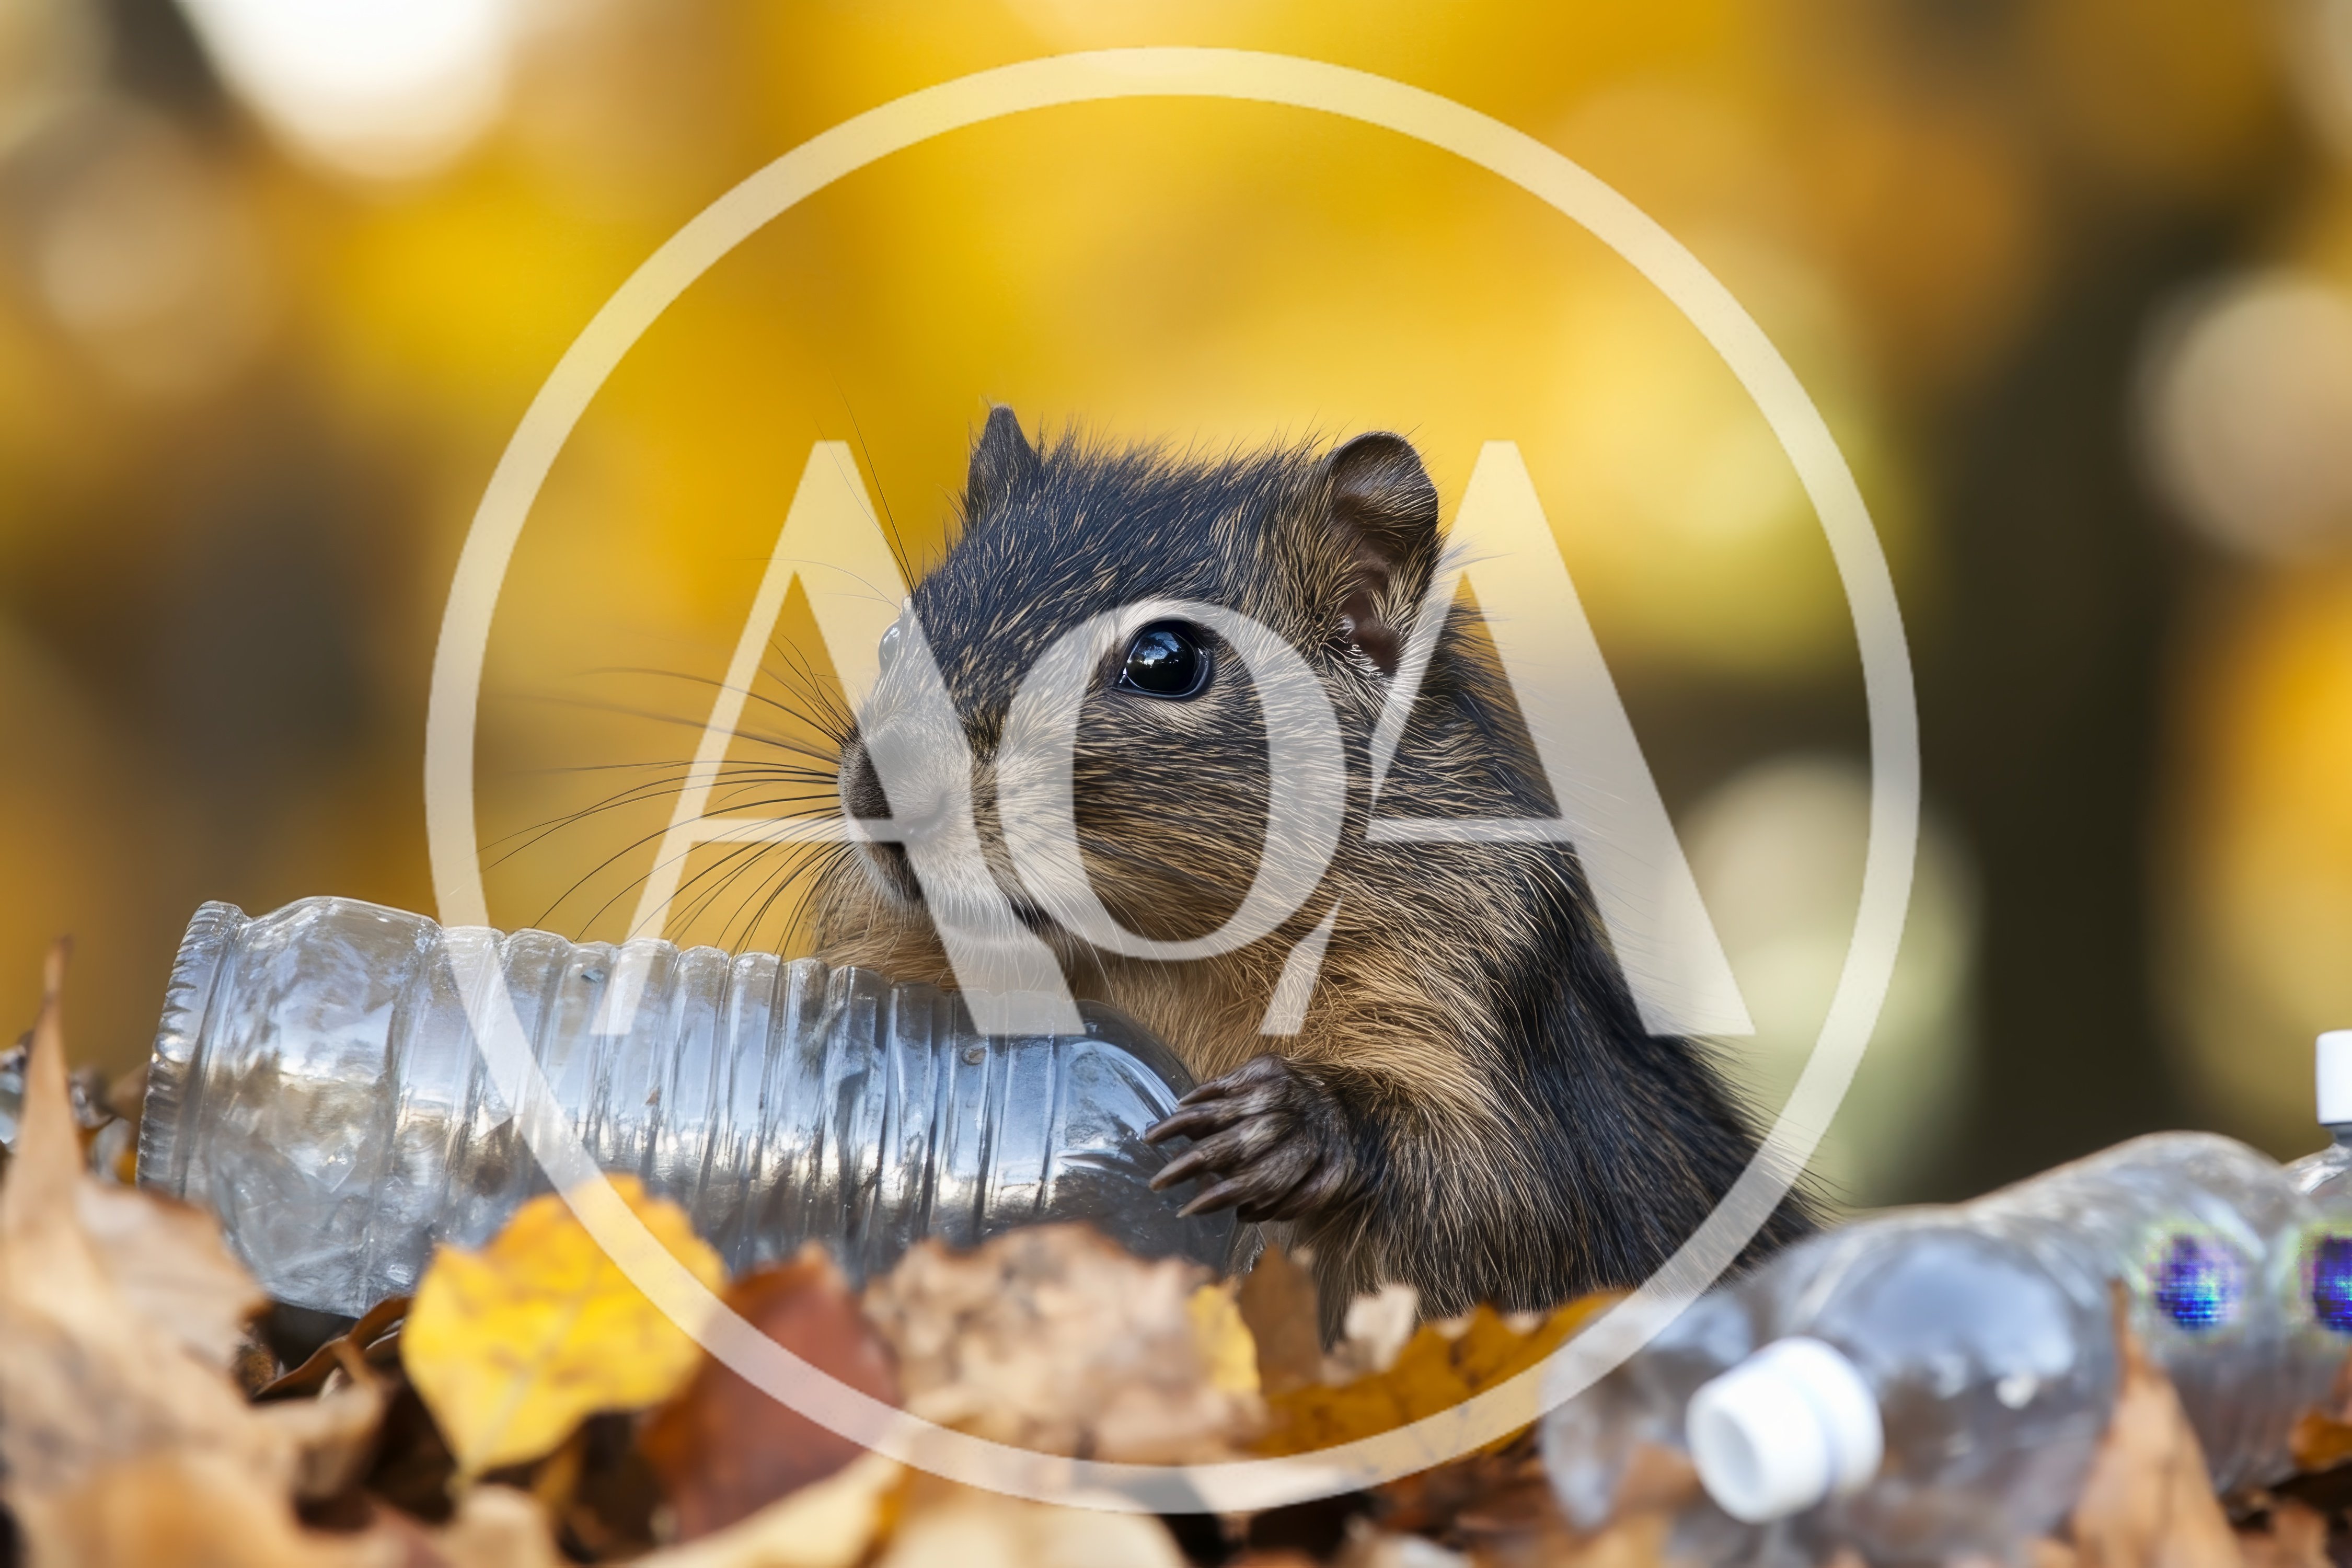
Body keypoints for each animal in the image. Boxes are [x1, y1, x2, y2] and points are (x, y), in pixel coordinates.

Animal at [810, 406, 1813, 1329]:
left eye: (1166, 661)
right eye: (895, 637)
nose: (881, 792)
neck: (1153, 957)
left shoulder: (1480, 1028)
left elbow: (1496, 1195)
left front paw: (1288, 1126)